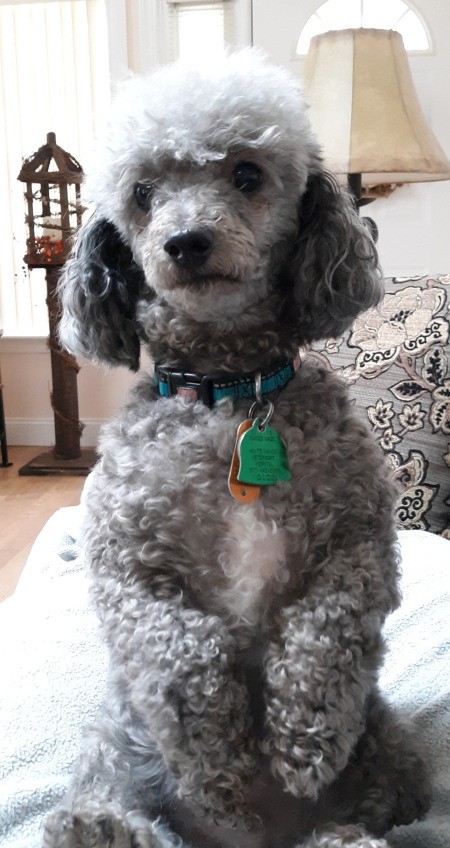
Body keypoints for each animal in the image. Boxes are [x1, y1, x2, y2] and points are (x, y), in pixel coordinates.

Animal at [44, 49, 428, 844]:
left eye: (247, 174)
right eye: (143, 193)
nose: (186, 242)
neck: (228, 394)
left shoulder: (359, 541)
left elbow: (325, 631)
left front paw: (303, 737)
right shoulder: (129, 566)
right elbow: (181, 647)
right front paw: (218, 756)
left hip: (387, 746)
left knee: (379, 805)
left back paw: (343, 835)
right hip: (118, 741)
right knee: (102, 810)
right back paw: (109, 827)